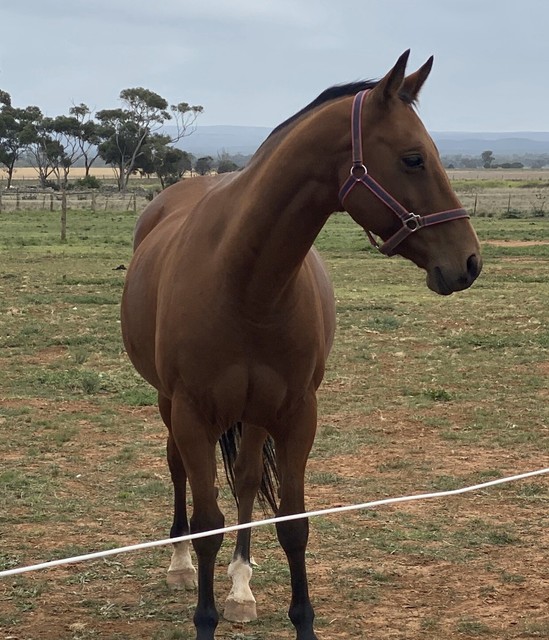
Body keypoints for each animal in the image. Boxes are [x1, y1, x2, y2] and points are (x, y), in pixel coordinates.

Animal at [121, 50, 482, 640]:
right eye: (413, 159)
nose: (469, 262)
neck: (245, 282)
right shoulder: (193, 412)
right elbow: (206, 522)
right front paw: (203, 617)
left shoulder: (295, 413)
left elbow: (292, 524)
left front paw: (297, 619)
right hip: (169, 403)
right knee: (177, 468)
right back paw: (179, 565)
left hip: (253, 414)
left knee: (246, 482)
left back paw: (241, 587)